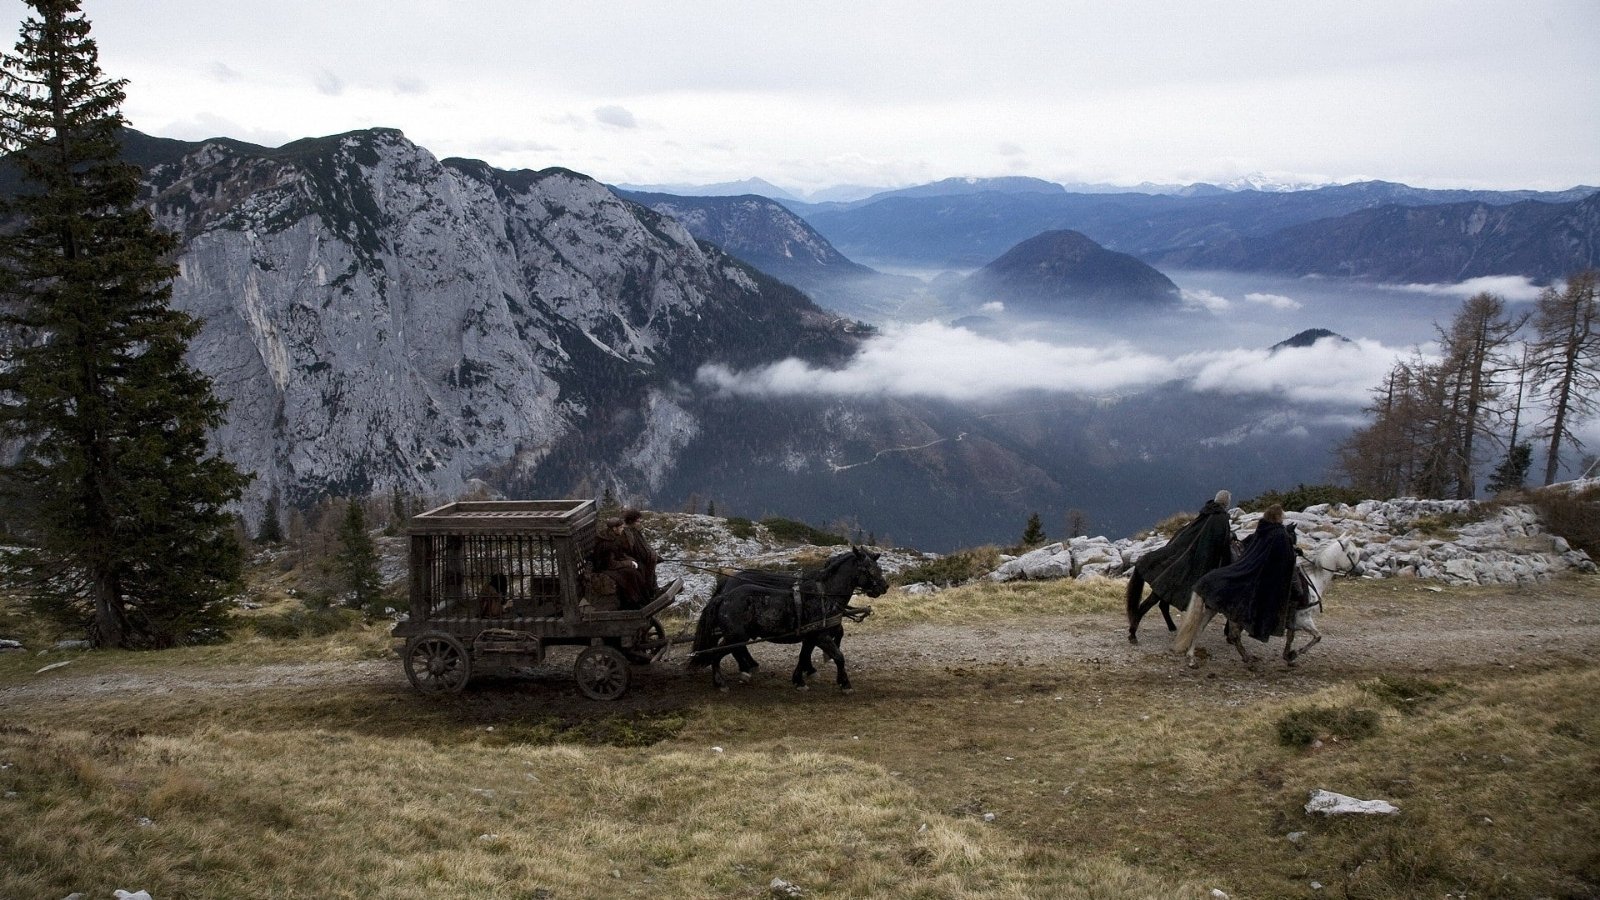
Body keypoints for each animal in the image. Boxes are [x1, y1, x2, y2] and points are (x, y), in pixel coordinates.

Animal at [688, 544, 889, 688]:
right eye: (869, 569)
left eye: (878, 567)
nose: (884, 587)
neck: (824, 593)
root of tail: (724, 595)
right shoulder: (820, 635)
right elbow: (839, 656)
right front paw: (844, 682)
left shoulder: (811, 635)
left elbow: (804, 655)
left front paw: (800, 679)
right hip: (735, 635)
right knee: (720, 651)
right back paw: (726, 679)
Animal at [1171, 531, 1369, 666]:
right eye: (1352, 553)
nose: (1360, 571)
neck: (1314, 580)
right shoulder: (1304, 619)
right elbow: (1317, 637)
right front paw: (1295, 654)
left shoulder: (1293, 620)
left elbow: (1291, 637)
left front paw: (1288, 655)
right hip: (1233, 615)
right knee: (1234, 635)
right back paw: (1248, 659)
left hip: (1212, 609)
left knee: (1199, 628)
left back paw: (1191, 656)